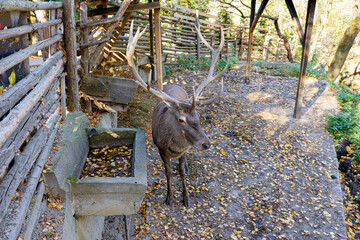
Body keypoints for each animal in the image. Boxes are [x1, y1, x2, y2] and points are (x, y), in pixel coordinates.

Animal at [126, 20, 228, 206]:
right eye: (181, 120)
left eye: (199, 116)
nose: (206, 144)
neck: (174, 148)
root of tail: (173, 84)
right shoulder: (160, 149)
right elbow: (168, 172)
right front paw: (169, 197)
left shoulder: (184, 150)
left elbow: (180, 171)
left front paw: (186, 198)